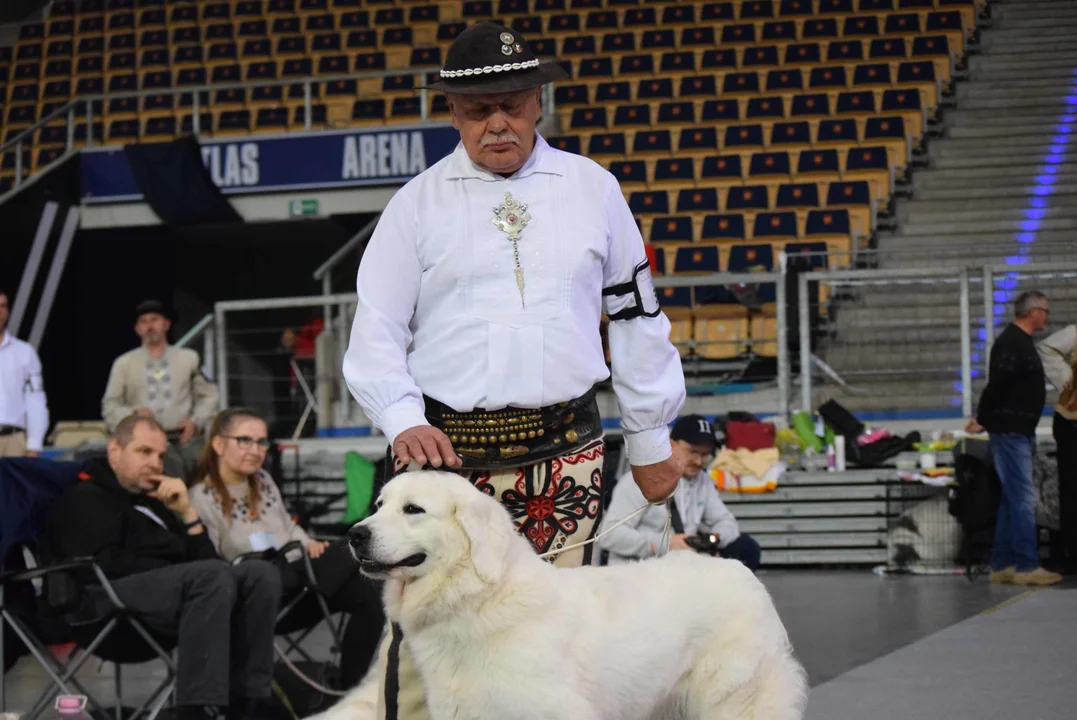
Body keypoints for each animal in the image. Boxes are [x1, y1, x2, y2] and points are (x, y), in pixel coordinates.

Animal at [320, 471, 809, 718]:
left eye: (413, 510)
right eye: (379, 506)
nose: (355, 536)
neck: (476, 599)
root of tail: (740, 571)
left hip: (735, 702)